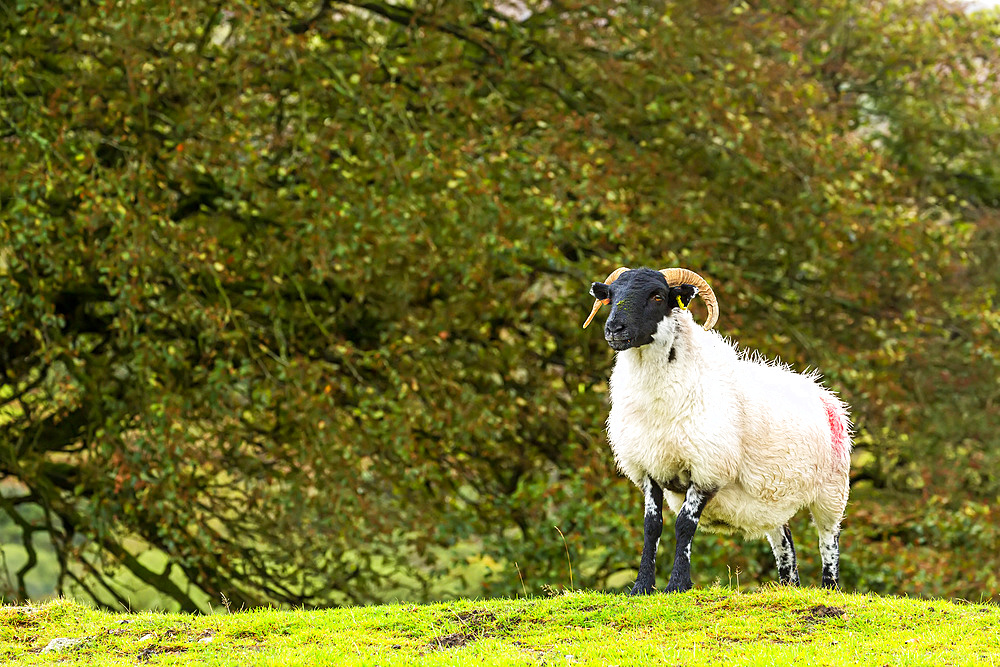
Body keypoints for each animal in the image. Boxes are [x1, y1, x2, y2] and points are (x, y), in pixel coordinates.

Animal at [584, 266, 852, 596]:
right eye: (611, 296)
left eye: (657, 296)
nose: (614, 329)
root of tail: (822, 392)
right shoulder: (648, 468)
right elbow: (652, 526)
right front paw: (642, 587)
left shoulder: (707, 469)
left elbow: (684, 525)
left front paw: (677, 584)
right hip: (771, 500)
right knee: (785, 542)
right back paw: (788, 588)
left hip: (832, 491)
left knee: (829, 539)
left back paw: (830, 588)